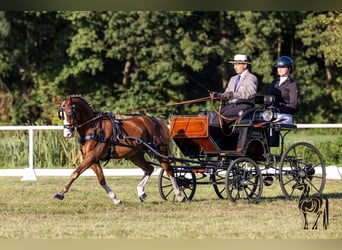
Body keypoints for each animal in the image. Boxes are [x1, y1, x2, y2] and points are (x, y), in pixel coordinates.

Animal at [55, 94, 186, 204]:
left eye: (70, 113)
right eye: (61, 115)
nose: (67, 134)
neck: (93, 127)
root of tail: (154, 120)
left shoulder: (92, 156)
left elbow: (75, 173)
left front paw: (61, 193)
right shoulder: (93, 159)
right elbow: (101, 179)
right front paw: (115, 199)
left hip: (160, 151)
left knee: (168, 170)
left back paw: (179, 195)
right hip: (135, 155)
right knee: (149, 168)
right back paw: (141, 192)